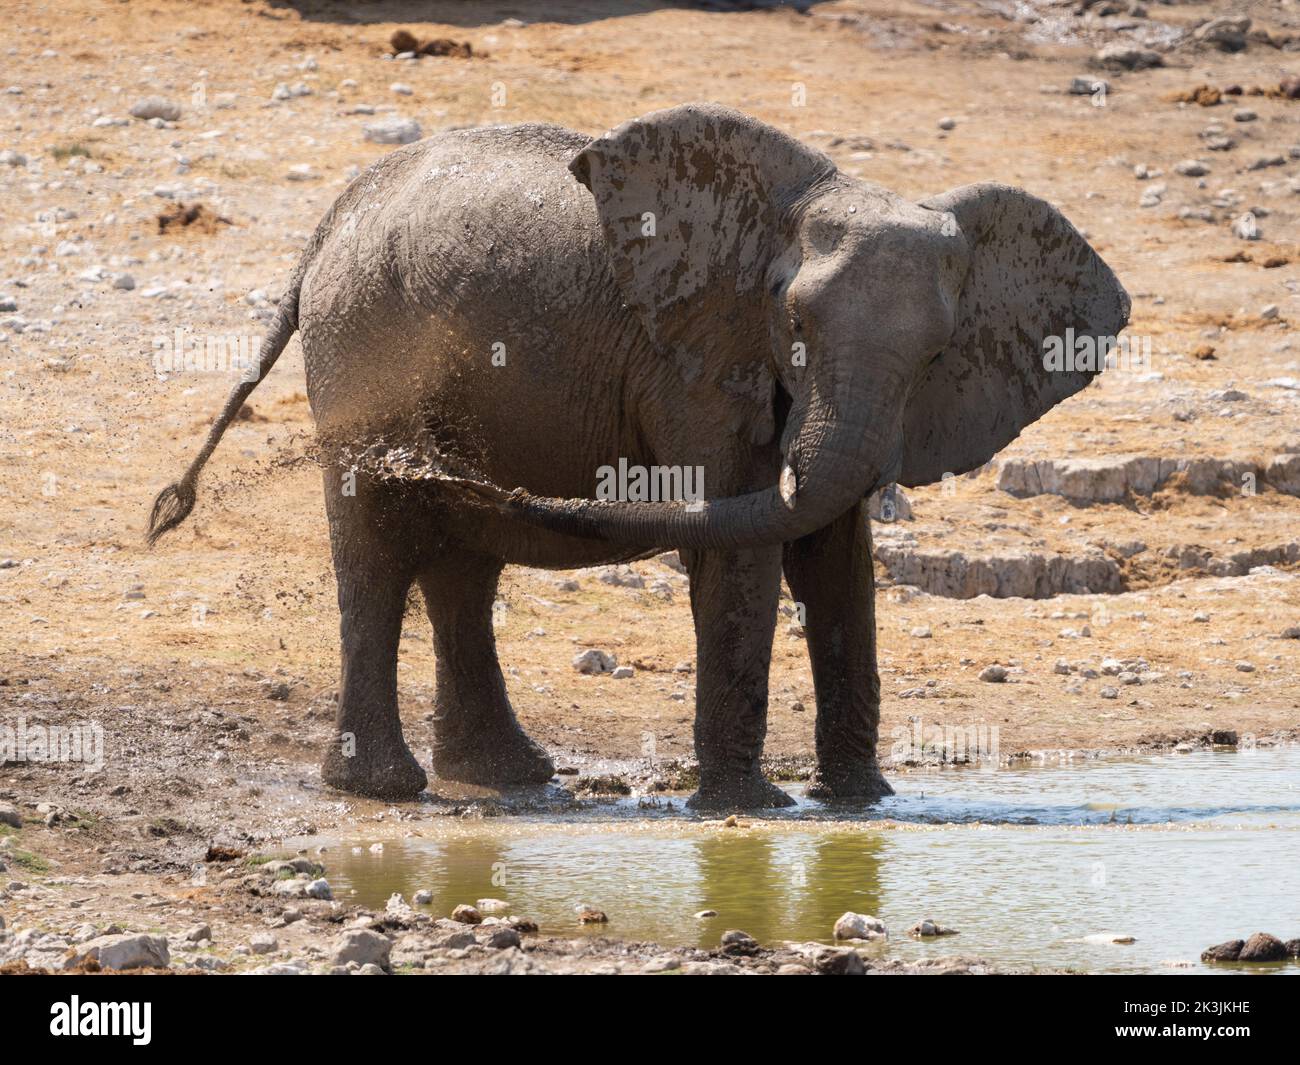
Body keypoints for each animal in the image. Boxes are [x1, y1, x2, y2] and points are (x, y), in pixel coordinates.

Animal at [147, 104, 1129, 809]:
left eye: (935, 357)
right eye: (795, 326)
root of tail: (329, 222)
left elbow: (837, 560)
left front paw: (862, 804)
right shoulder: (696, 358)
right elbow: (742, 545)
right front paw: (750, 808)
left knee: (461, 561)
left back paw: (507, 774)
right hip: (363, 343)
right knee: (379, 552)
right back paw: (385, 789)